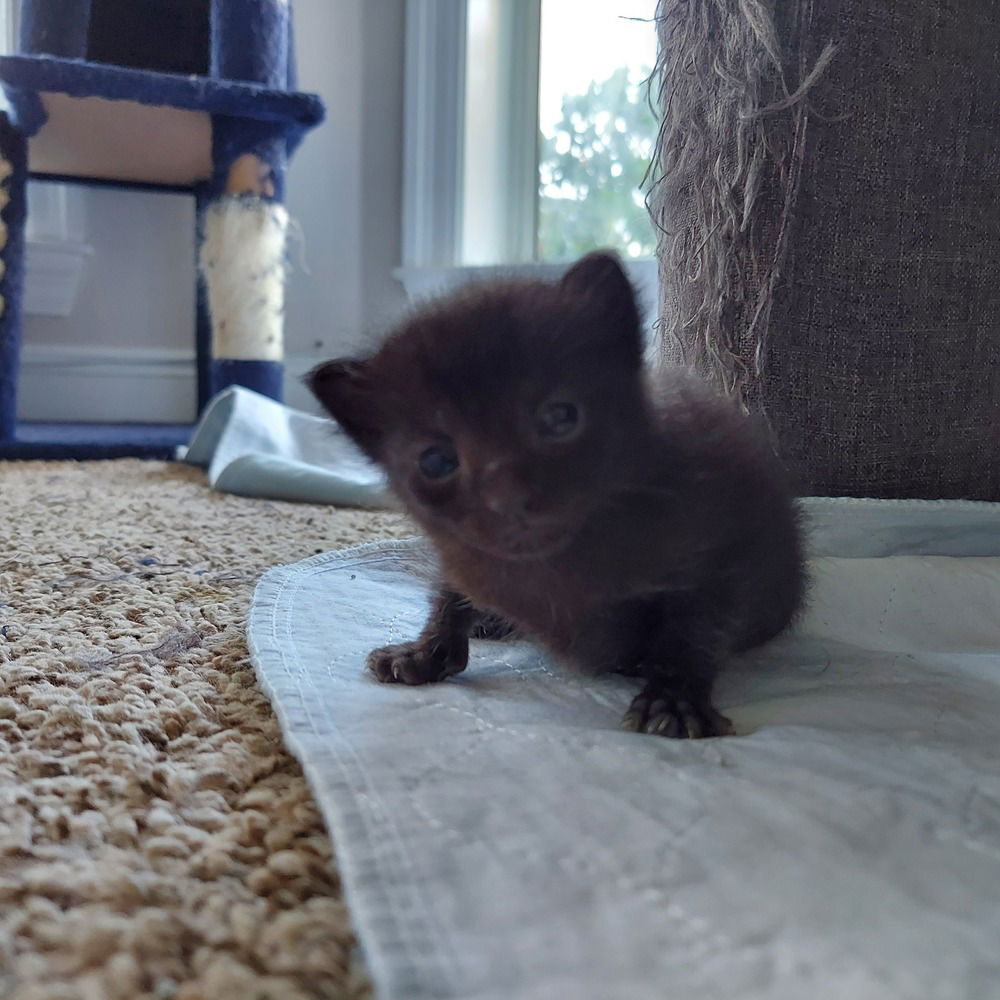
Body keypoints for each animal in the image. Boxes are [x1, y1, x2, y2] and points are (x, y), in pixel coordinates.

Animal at [308, 254, 808, 740]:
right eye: (435, 461)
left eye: (559, 417)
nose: (508, 497)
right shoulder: (462, 556)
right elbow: (449, 593)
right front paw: (421, 653)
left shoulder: (727, 540)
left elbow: (695, 628)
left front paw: (674, 698)